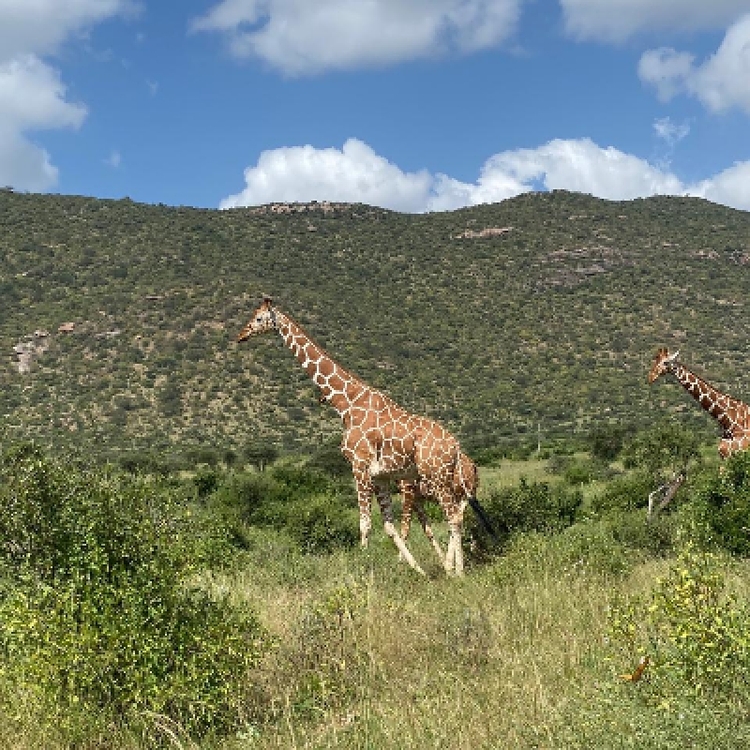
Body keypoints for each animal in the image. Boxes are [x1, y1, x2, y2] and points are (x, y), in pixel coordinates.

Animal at [238, 298, 490, 576]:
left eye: (259, 318)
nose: (241, 335)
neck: (345, 404)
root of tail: (456, 447)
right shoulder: (379, 476)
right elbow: (390, 527)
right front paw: (417, 570)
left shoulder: (359, 466)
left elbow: (365, 523)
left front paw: (362, 567)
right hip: (442, 481)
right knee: (453, 517)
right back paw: (452, 567)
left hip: (437, 477)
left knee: (454, 517)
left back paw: (457, 572)